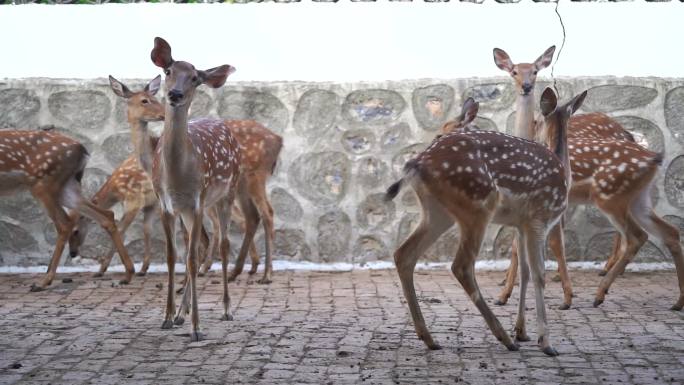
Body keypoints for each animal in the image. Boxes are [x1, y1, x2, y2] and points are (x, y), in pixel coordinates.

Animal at [0, 130, 135, 292]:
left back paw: (44, 281)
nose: (73, 252)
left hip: (43, 182)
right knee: (106, 215)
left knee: (64, 223)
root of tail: (81, 149)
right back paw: (128, 274)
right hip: (66, 187)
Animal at [388, 88, 584, 356]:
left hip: (438, 212)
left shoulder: (521, 224)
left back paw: (429, 338)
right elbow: (539, 274)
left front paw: (523, 331)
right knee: (461, 266)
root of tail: (415, 164)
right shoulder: (540, 218)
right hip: (478, 205)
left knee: (404, 254)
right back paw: (504, 337)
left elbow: (524, 271)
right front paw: (545, 342)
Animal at [492, 46, 684, 308]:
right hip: (637, 199)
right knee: (669, 233)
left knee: (635, 235)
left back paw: (602, 285)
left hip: (610, 197)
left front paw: (509, 292)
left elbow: (539, 243)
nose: (527, 86)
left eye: (534, 70)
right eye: (513, 71)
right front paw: (508, 288)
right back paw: (676, 300)